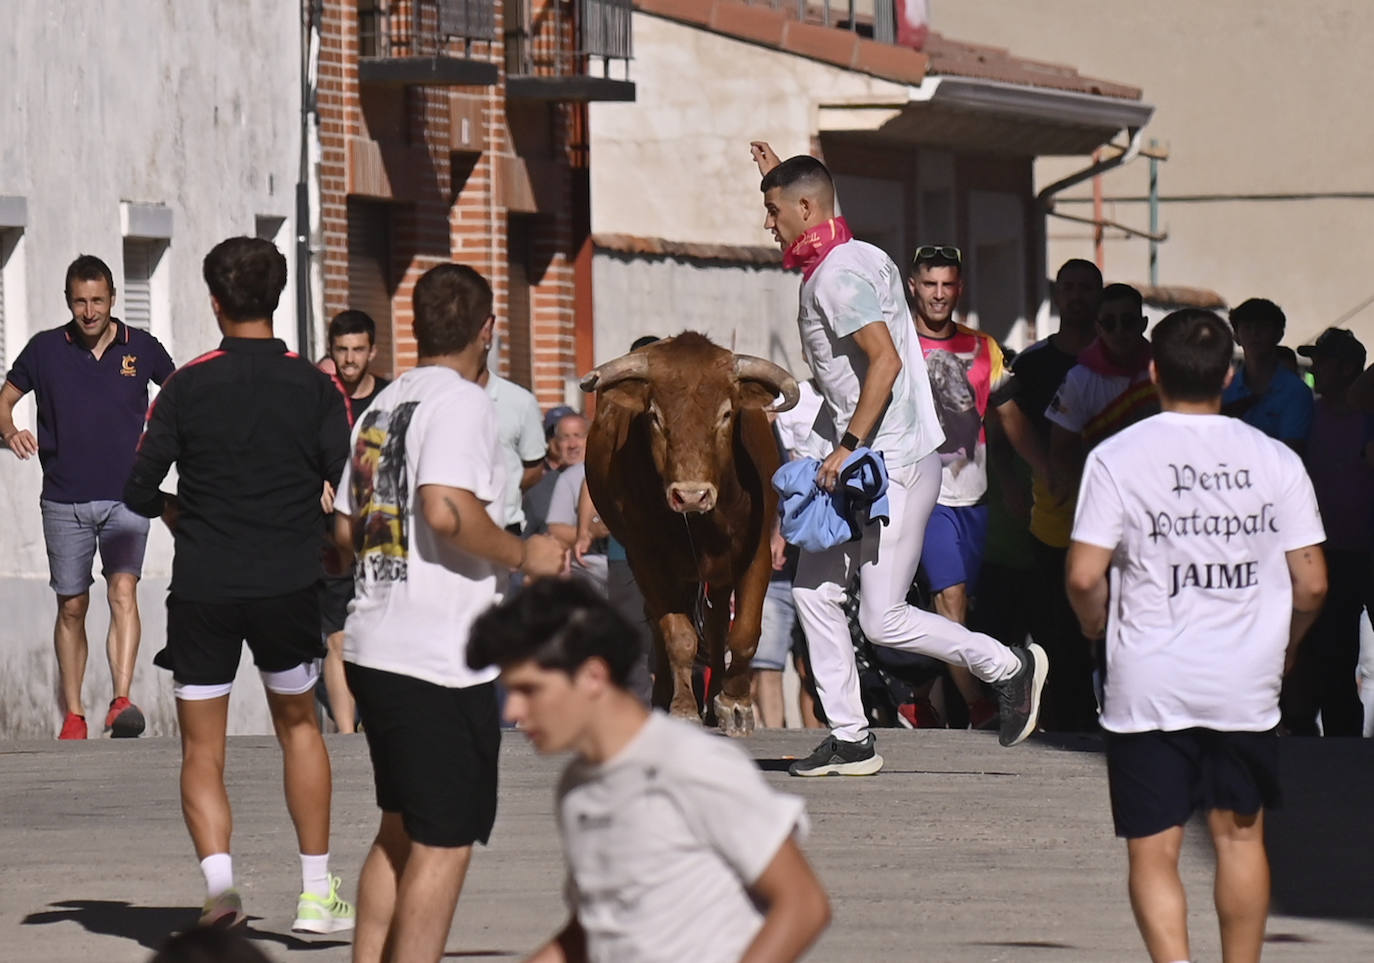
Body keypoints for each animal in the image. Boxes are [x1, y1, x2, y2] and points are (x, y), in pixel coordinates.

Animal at [577, 332, 796, 736]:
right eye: (654, 416)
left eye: (726, 414)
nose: (691, 495)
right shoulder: (646, 558)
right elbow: (678, 636)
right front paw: (682, 708)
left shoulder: (757, 553)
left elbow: (744, 633)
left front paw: (735, 704)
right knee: (663, 625)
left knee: (717, 624)